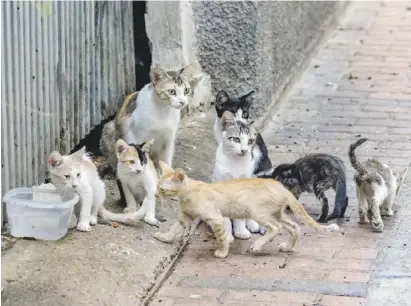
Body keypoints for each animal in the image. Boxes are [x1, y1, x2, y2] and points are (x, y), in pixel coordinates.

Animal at [214, 110, 266, 241]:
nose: (244, 151)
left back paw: (252, 224)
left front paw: (241, 231)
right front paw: (227, 235)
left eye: (250, 141)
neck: (235, 162)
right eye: (236, 139)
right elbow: (226, 219)